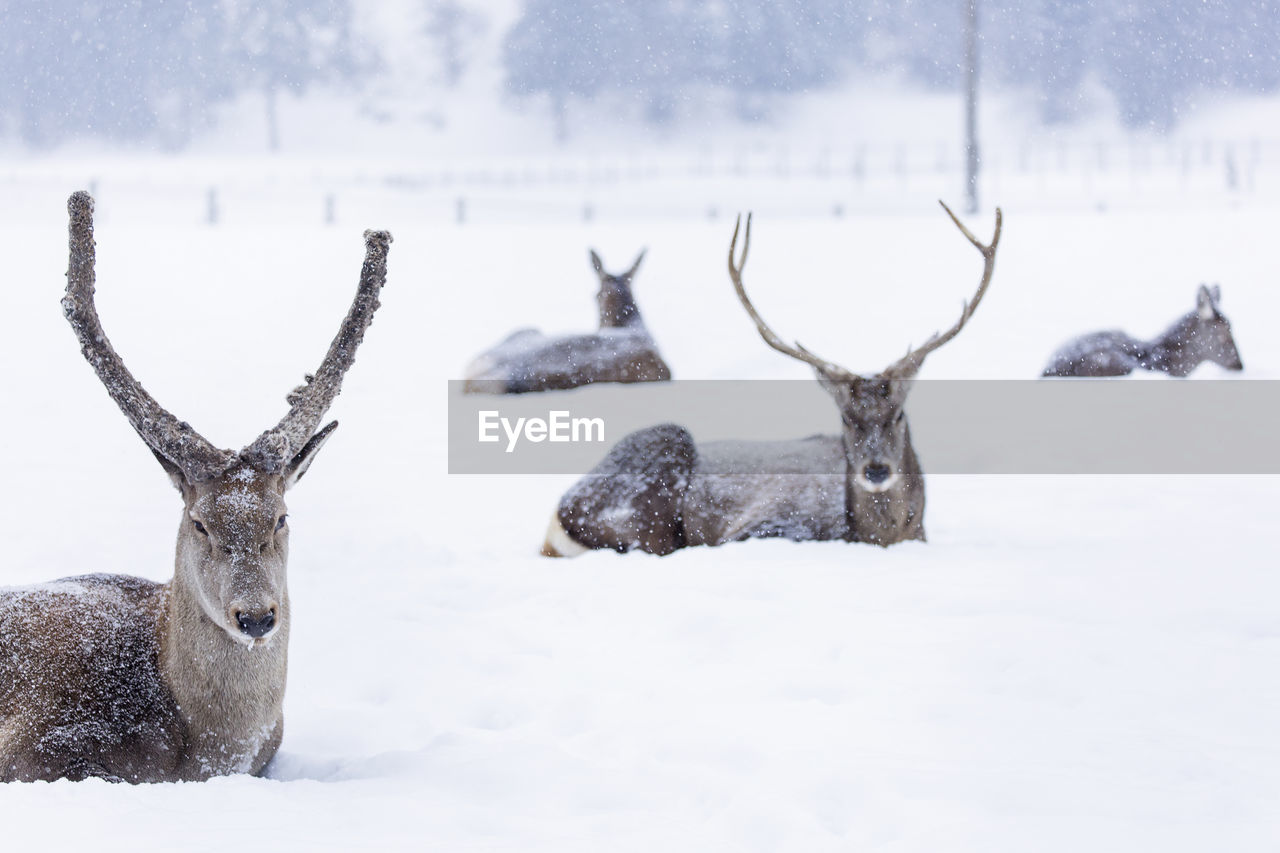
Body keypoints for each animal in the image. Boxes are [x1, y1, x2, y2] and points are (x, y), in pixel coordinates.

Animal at [540, 201, 998, 558]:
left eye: (899, 413)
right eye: (846, 418)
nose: (876, 469)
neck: (882, 535)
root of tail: (559, 513)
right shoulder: (760, 524)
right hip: (657, 470)